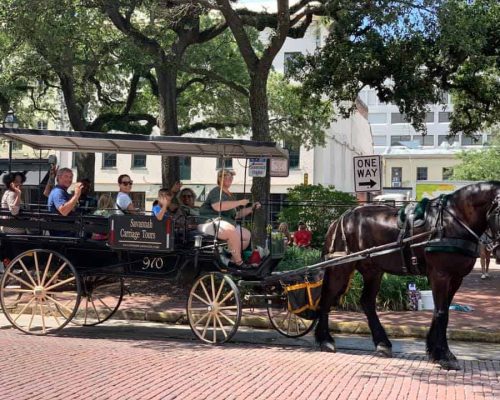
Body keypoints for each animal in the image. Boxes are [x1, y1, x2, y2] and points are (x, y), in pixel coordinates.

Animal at [316, 181, 500, 368]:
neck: (454, 220)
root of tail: (339, 219)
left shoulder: (456, 278)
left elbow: (440, 312)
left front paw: (435, 351)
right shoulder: (440, 275)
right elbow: (442, 313)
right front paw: (443, 355)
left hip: (372, 271)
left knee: (367, 302)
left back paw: (382, 343)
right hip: (341, 267)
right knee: (327, 298)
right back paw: (325, 340)